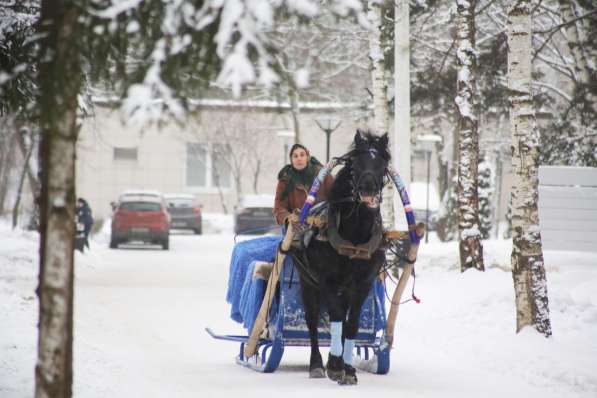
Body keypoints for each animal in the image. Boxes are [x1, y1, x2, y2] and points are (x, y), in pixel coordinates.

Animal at [292, 131, 386, 386]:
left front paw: (349, 368)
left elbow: (350, 324)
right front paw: (334, 365)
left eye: (383, 163)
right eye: (355, 163)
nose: (368, 188)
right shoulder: (326, 281)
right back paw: (316, 364)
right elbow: (334, 316)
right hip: (307, 283)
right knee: (312, 320)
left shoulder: (363, 284)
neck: (354, 235)